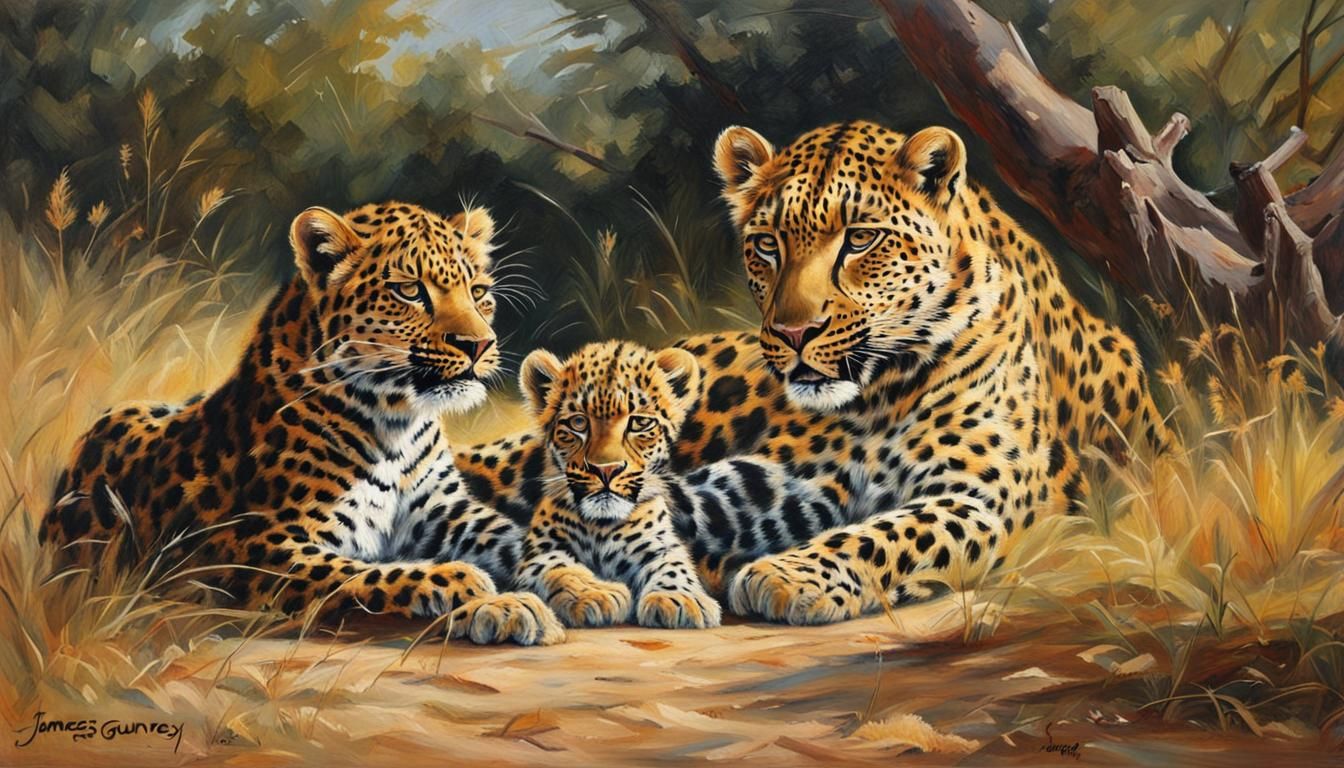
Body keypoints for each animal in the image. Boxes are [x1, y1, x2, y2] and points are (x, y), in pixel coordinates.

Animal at [42, 201, 564, 645]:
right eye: (410, 290)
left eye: (479, 294)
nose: (479, 345)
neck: (397, 419)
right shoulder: (251, 547)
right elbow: (371, 575)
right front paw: (476, 589)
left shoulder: (448, 512)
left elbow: (520, 539)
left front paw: (568, 582)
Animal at [513, 341, 721, 630]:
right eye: (578, 422)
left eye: (640, 423)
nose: (606, 469)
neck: (601, 525)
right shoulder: (539, 551)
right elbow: (559, 567)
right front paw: (595, 594)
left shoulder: (659, 543)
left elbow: (674, 564)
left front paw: (679, 598)